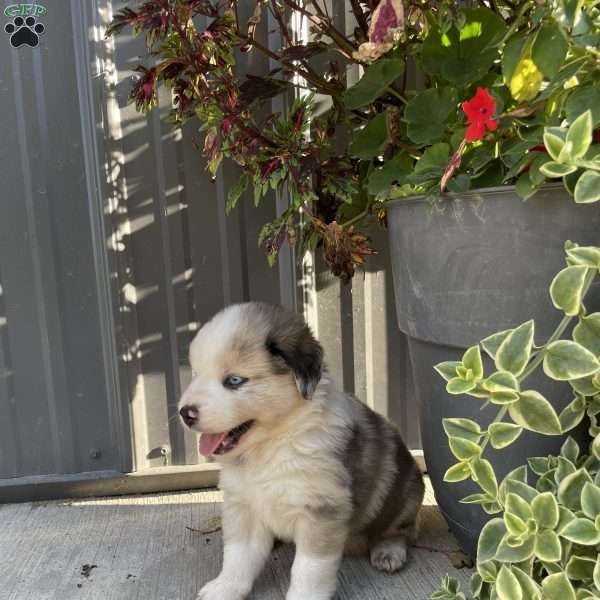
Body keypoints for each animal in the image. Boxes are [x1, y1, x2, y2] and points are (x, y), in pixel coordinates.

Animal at [178, 304, 422, 600]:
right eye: (195, 374)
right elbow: (237, 556)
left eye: (234, 381)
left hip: (404, 496)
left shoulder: (320, 510)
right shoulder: (243, 504)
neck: (272, 445)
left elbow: (308, 569)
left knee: (402, 530)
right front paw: (225, 587)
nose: (185, 413)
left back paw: (388, 551)